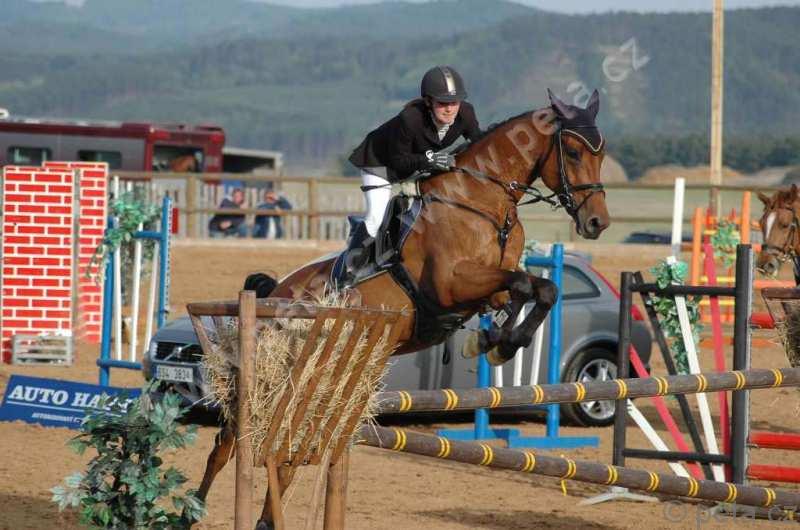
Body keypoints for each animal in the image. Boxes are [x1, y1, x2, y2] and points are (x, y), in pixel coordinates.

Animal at [192, 89, 610, 529]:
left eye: (602, 153)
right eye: (573, 151)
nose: (597, 222)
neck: (479, 202)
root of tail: (277, 289)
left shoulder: (489, 288)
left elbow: (538, 289)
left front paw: (495, 341)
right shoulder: (452, 284)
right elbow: (524, 285)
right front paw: (498, 342)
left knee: (283, 453)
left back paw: (265, 520)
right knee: (228, 444)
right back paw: (195, 507)